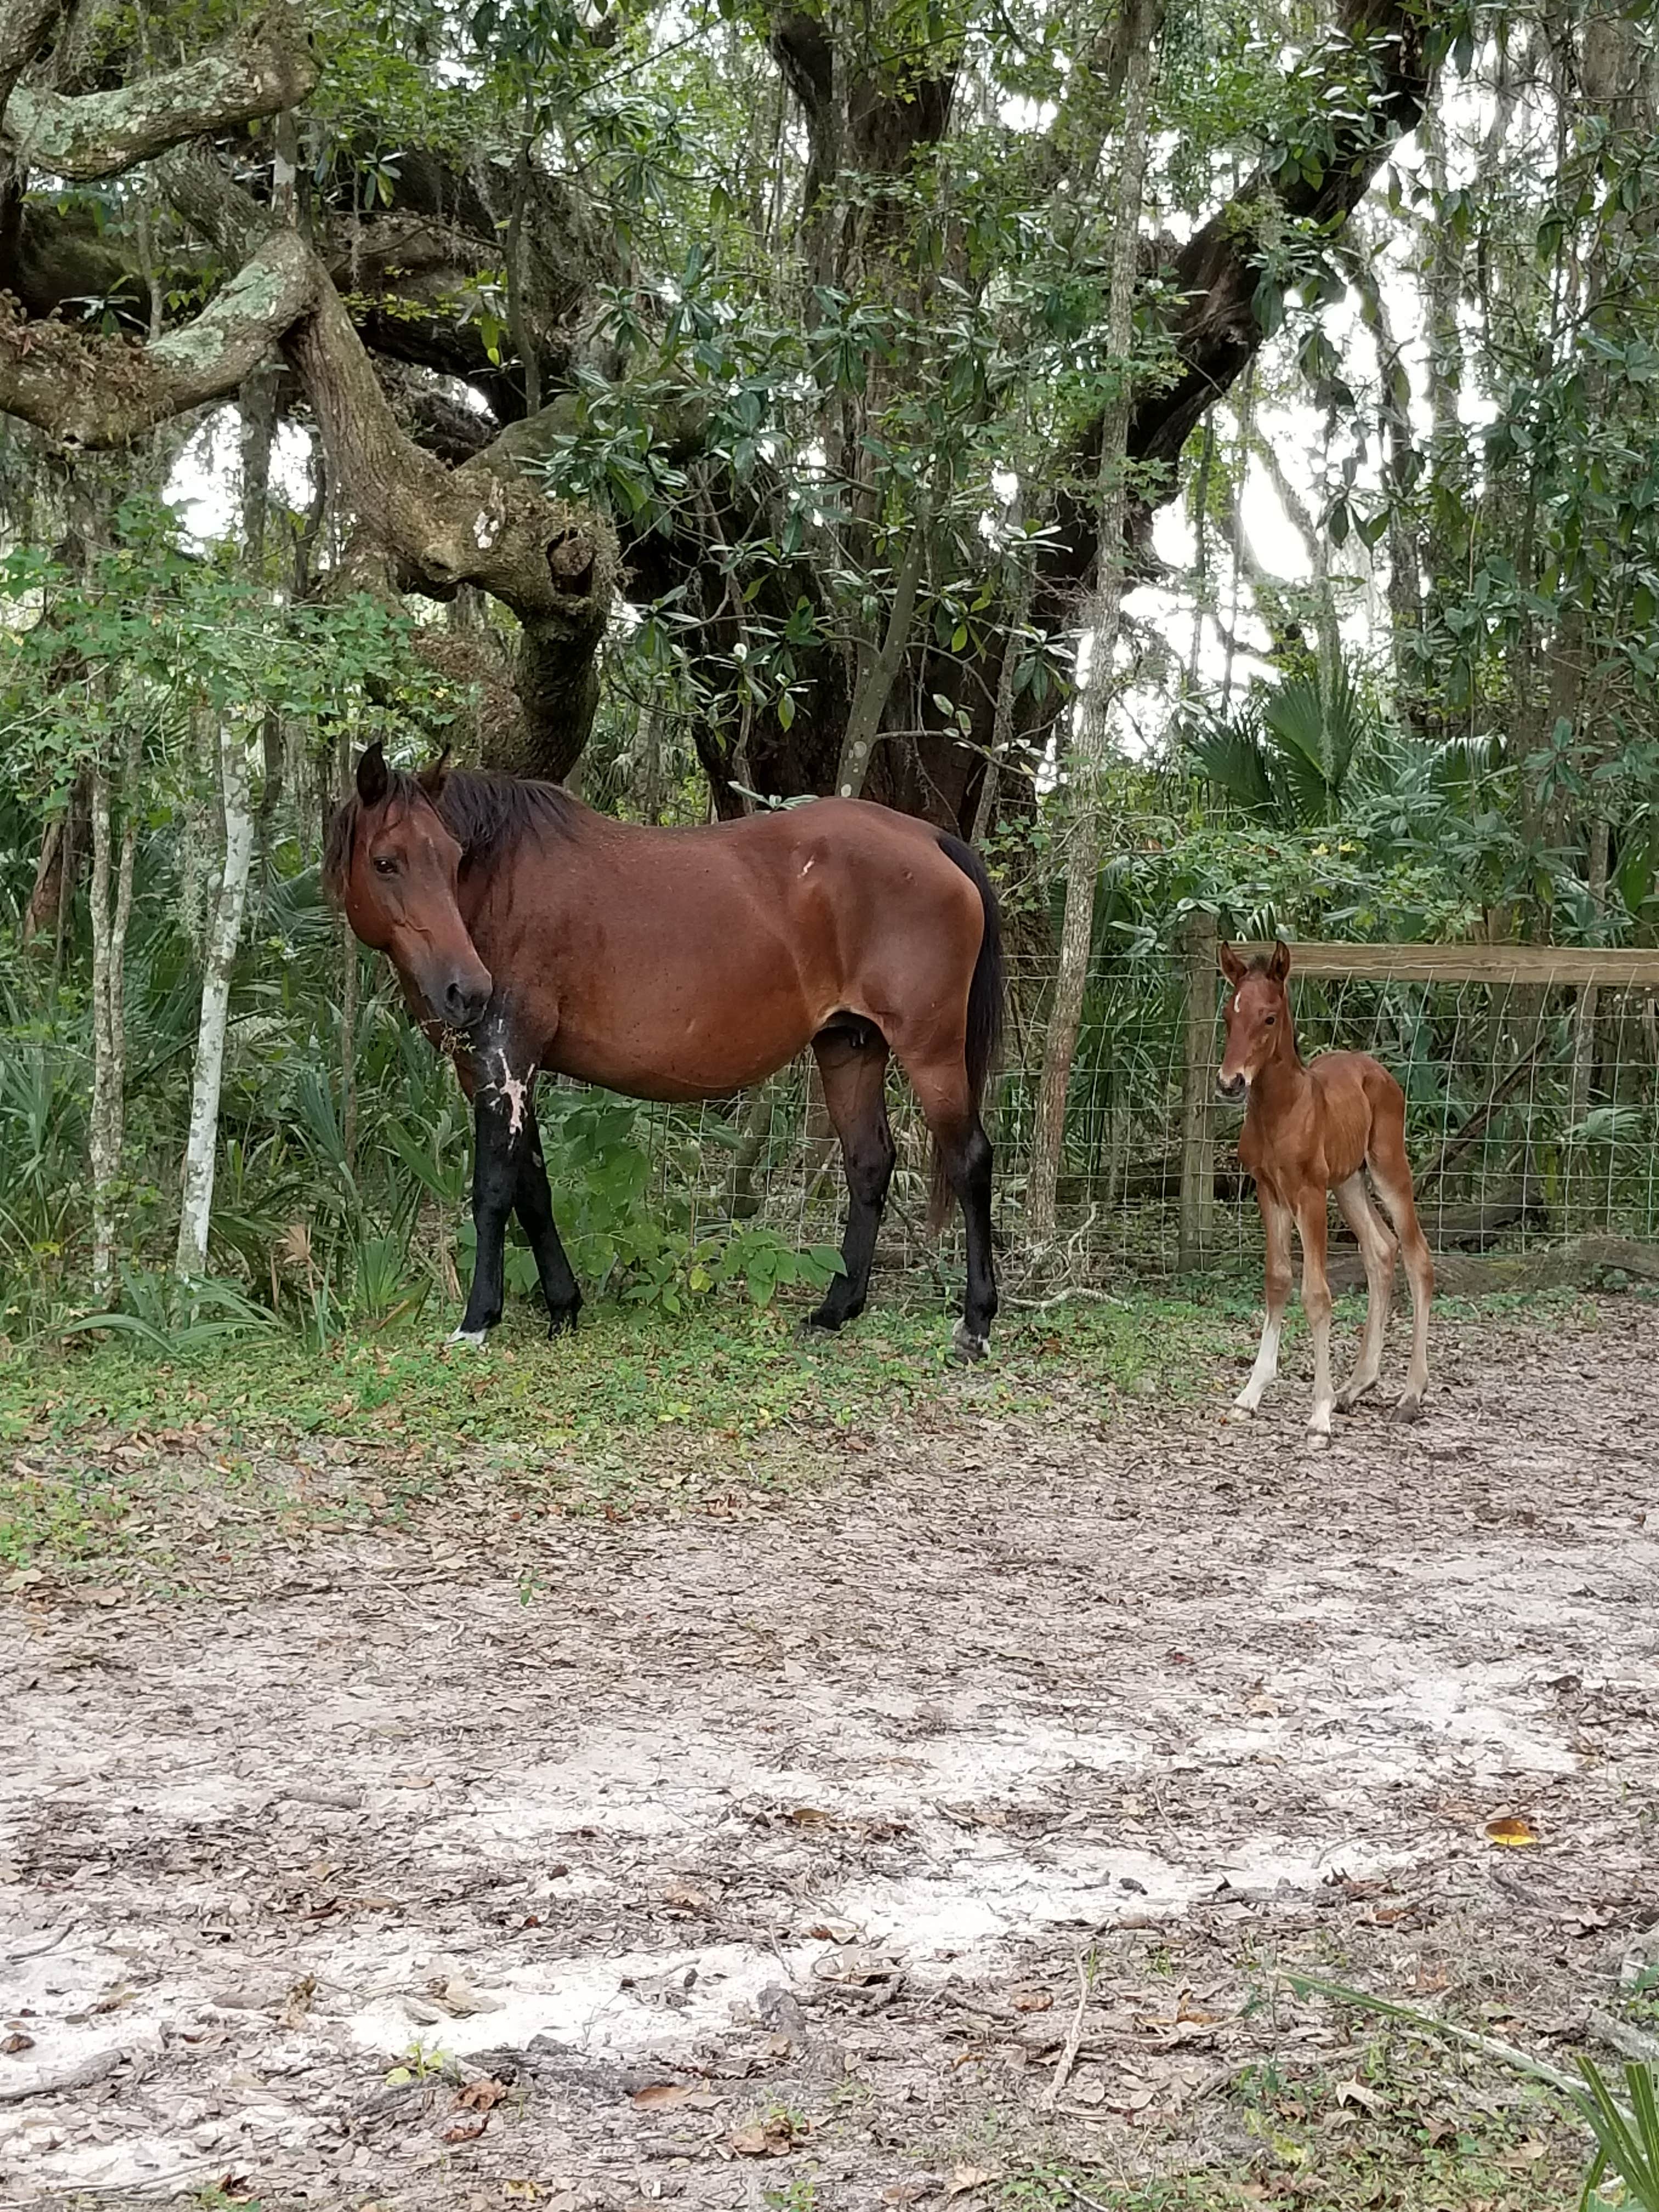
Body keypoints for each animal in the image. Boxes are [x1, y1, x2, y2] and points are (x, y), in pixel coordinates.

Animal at [324, 742, 1005, 1360]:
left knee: (969, 1160)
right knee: (869, 1162)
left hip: (930, 1050)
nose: (467, 989)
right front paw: (563, 1306)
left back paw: (975, 1324)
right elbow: (532, 1190)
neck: (501, 887)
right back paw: (835, 1311)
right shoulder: (497, 1070)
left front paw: (477, 1319)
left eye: (452, 858)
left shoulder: (507, 1058)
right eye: (386, 862)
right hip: (850, 1045)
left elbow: (493, 1190)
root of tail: (933, 840)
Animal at [1217, 939, 1433, 1436]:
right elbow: (1278, 1280)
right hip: (1349, 1182)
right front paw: (1250, 1396)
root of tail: (1377, 1069)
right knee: (1381, 1249)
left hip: (1387, 1167)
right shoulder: (1268, 1192)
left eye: (1269, 1017)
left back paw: (1409, 1397)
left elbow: (1317, 1295)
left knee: (1417, 1255)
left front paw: (1318, 1415)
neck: (1281, 1113)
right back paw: (1355, 1388)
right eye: (1228, 1016)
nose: (1230, 1082)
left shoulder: (1309, 1194)